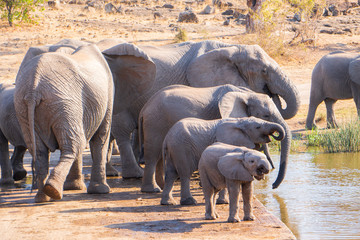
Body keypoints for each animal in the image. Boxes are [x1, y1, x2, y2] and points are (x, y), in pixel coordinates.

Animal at [14, 44, 114, 202]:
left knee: (40, 151)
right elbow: (101, 137)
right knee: (75, 144)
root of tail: (33, 88)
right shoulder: (107, 96)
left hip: (24, 108)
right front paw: (101, 191)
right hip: (63, 102)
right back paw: (54, 191)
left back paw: (43, 197)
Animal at [100, 39, 300, 178]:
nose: (271, 169)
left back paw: (112, 172)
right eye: (264, 71)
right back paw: (134, 174)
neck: (231, 48)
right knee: (122, 131)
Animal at [139, 84, 292, 193]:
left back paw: (161, 186)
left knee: (160, 156)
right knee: (153, 155)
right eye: (266, 115)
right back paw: (152, 190)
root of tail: (144, 108)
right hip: (155, 122)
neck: (246, 94)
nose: (273, 186)